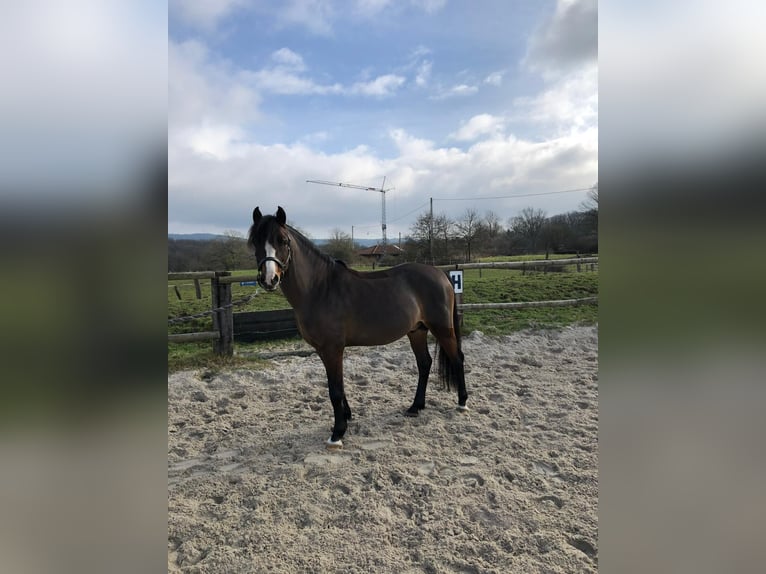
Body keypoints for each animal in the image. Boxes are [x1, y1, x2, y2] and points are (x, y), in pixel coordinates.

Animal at [250, 207, 468, 450]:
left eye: (283, 240)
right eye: (255, 241)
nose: (269, 279)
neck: (319, 289)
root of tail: (441, 275)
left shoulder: (333, 348)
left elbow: (335, 390)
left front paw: (337, 433)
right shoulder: (324, 350)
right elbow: (338, 386)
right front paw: (346, 417)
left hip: (442, 328)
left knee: (457, 358)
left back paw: (462, 403)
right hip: (417, 331)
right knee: (424, 363)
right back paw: (415, 407)